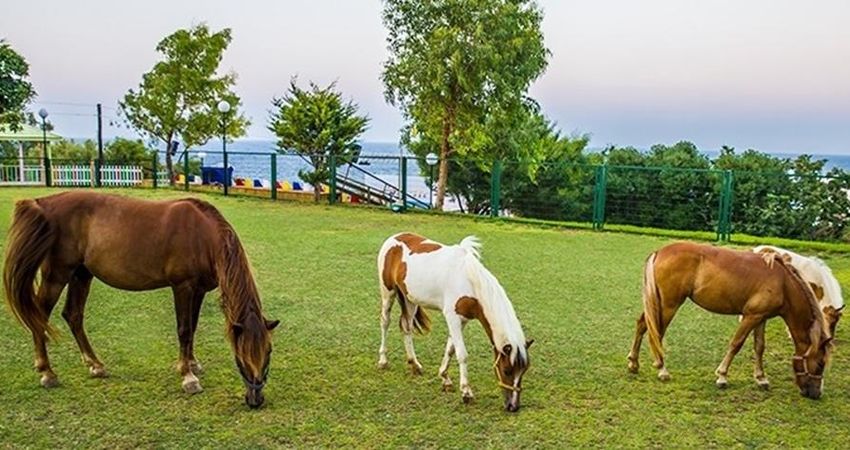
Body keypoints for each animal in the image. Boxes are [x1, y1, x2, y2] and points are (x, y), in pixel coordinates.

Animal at [4, 192, 280, 410]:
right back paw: (47, 372)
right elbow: (184, 329)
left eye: (268, 351)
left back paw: (95, 365)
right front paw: (188, 377)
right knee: (40, 315)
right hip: (58, 274)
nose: (255, 400)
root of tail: (43, 203)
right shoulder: (183, 287)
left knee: (73, 315)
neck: (203, 235)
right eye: (241, 354)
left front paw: (192, 363)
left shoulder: (199, 290)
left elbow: (193, 327)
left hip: (81, 274)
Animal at [376, 234, 532, 414]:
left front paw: (445, 378)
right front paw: (466, 392)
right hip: (388, 292)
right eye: (506, 370)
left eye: (524, 370)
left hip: (410, 299)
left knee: (406, 327)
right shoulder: (452, 318)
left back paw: (414, 364)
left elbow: (450, 349)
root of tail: (394, 238)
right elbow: (462, 354)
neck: (470, 282)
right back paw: (383, 361)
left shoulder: (462, 320)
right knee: (385, 322)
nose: (513, 406)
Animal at [628, 243, 832, 398]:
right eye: (820, 364)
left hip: (659, 304)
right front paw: (722, 376)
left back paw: (633, 364)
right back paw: (661, 369)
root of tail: (660, 251)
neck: (782, 282)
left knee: (643, 325)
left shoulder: (761, 318)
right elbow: (736, 343)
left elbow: (759, 347)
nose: (816, 394)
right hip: (669, 305)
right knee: (656, 333)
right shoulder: (750, 316)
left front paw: (761, 378)